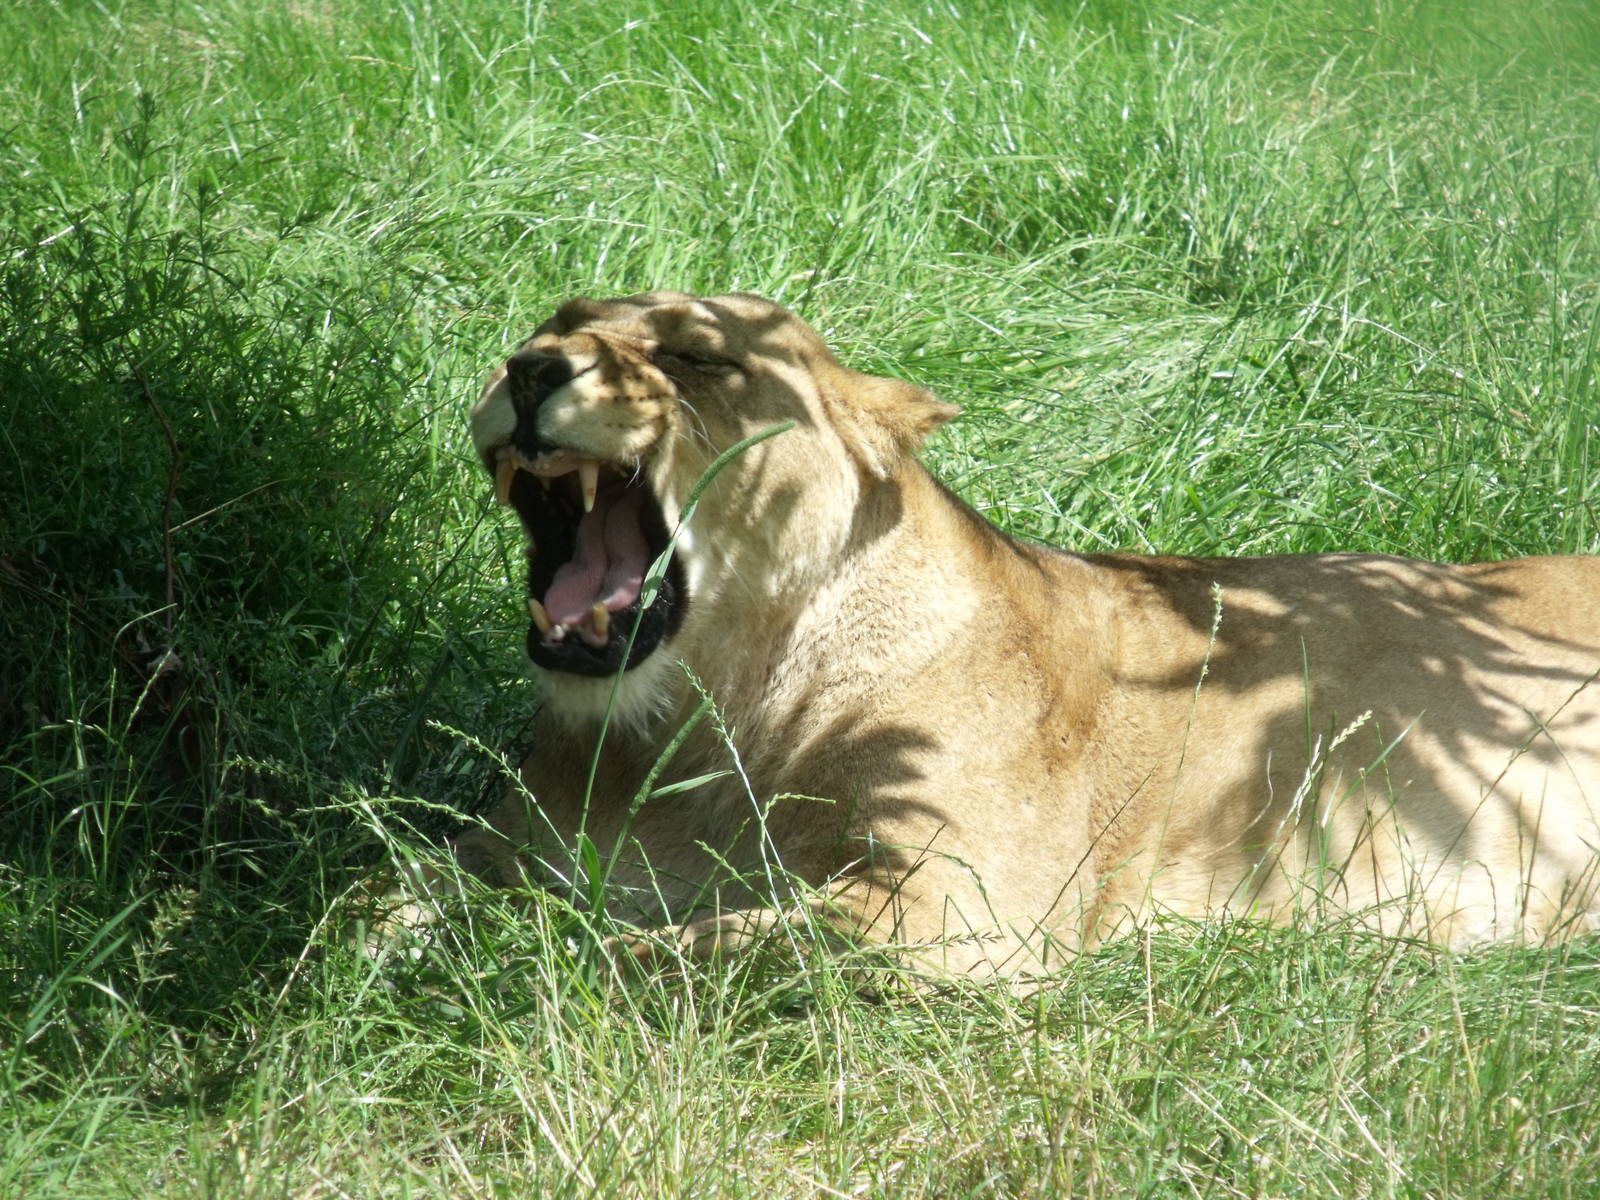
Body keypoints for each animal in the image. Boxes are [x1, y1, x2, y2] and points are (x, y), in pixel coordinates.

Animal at [412, 290, 1600, 979]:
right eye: (554, 321)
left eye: (700, 357)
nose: (528, 368)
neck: (701, 728)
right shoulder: (497, 847)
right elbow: (398, 893)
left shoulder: (959, 910)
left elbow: (664, 949)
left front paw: (512, 963)